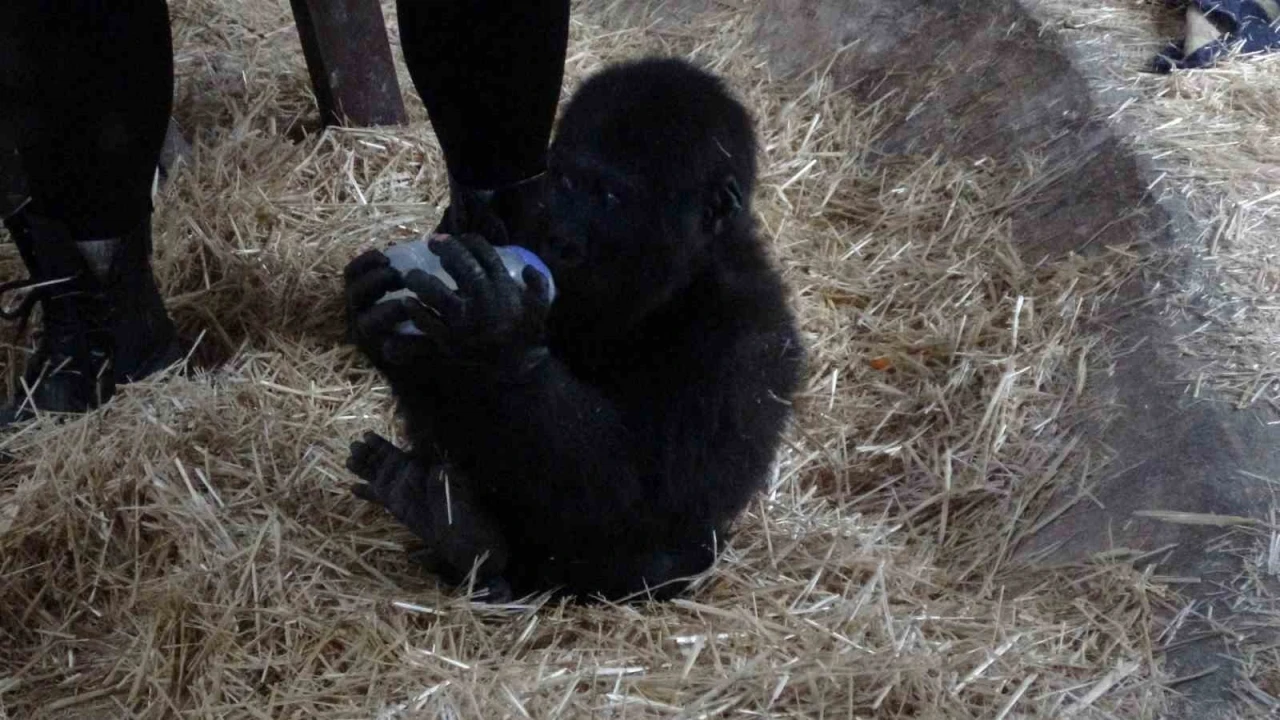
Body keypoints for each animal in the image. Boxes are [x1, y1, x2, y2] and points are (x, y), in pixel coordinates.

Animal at [340, 58, 798, 599]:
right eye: (566, 183)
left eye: (611, 196)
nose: (561, 235)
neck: (680, 277)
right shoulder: (517, 216)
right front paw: (379, 323)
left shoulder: (748, 340)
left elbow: (649, 500)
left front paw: (499, 339)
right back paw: (450, 524)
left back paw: (470, 540)